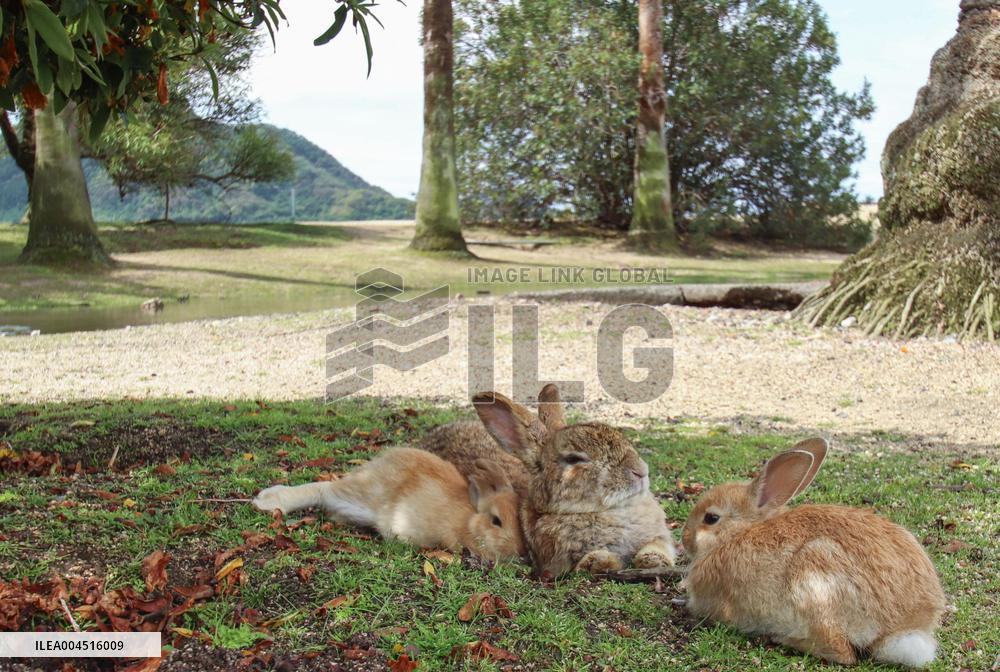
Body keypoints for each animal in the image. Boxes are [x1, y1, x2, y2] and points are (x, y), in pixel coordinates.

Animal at [252, 447, 526, 562]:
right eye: (496, 521)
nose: (520, 552)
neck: (469, 518)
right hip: (362, 497)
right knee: (324, 490)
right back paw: (267, 500)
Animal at [473, 385, 677, 577]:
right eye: (573, 459)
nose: (640, 471)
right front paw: (598, 561)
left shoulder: (658, 536)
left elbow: (657, 546)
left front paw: (654, 560)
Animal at [680, 439, 946, 668]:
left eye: (711, 518)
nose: (685, 538)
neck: (740, 532)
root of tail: (908, 624)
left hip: (814, 580)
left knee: (842, 651)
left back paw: (785, 639)